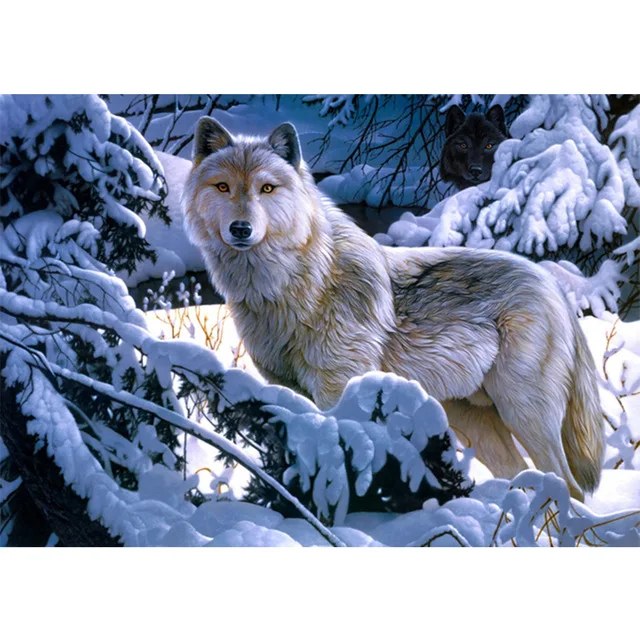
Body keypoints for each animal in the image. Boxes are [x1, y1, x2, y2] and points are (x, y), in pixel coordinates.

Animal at [182, 117, 605, 501]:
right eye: (223, 186)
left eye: (266, 188)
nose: (240, 229)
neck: (292, 286)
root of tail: (553, 285)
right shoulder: (287, 390)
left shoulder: (338, 389)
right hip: (474, 421)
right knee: (521, 476)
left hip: (523, 413)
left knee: (569, 487)